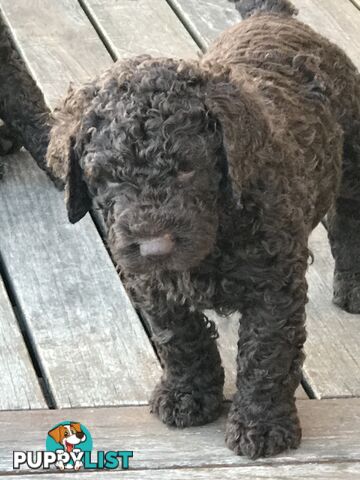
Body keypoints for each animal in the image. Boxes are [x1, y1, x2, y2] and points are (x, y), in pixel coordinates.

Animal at [46, 0, 360, 458]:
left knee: (349, 220)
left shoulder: (274, 284)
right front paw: (187, 395)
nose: (154, 247)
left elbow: (266, 354)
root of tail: (271, 16)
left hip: (353, 157)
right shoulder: (152, 283)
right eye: (106, 177)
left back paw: (353, 287)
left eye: (187, 168)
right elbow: (180, 337)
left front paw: (262, 425)